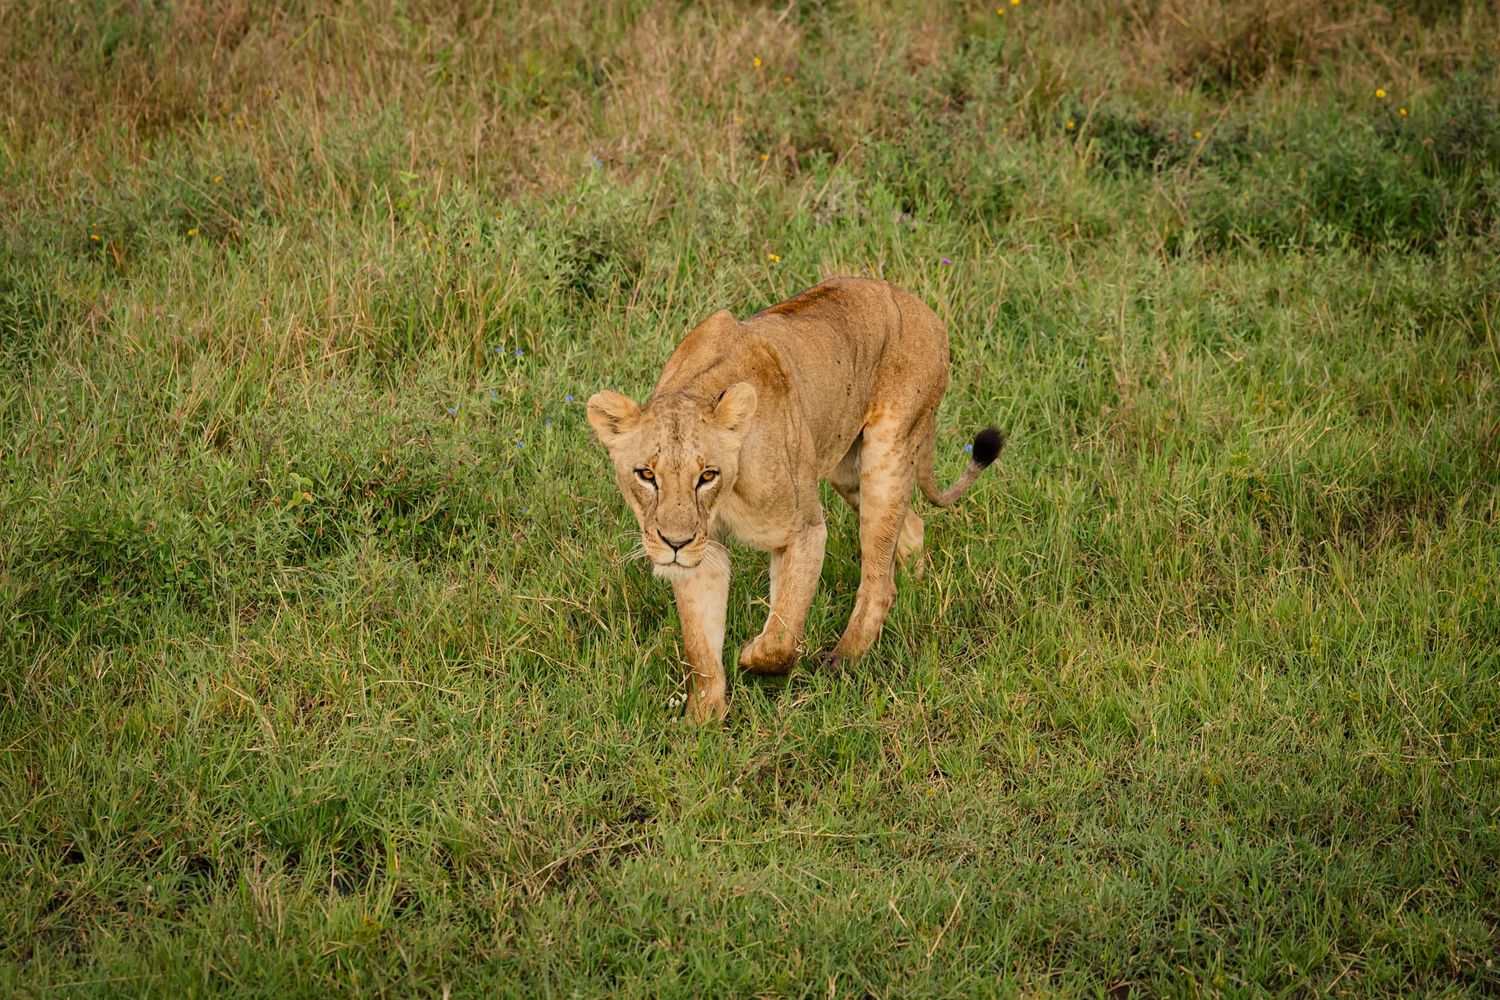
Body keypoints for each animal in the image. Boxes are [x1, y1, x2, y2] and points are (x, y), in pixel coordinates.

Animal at [587, 276, 1004, 722]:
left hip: (887, 452)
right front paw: (703, 719)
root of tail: (920, 307)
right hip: (846, 468)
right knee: (911, 526)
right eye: (647, 475)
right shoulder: (704, 550)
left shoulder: (803, 529)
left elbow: (782, 632)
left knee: (879, 579)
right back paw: (916, 587)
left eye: (707, 476)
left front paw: (750, 655)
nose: (674, 543)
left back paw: (843, 658)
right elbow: (700, 641)